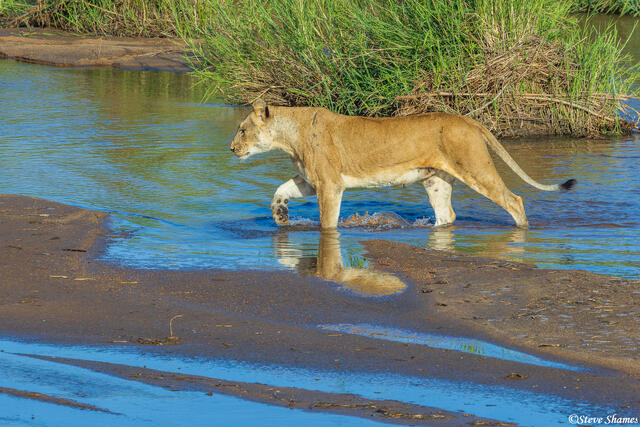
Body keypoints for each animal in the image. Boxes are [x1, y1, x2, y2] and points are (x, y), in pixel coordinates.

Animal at [230, 99, 575, 229]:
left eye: (243, 129)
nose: (232, 148)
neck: (289, 137)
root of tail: (467, 119)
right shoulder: (310, 180)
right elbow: (279, 190)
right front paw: (281, 215)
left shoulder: (330, 184)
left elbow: (328, 222)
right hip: (436, 180)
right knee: (446, 215)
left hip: (476, 167)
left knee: (514, 200)